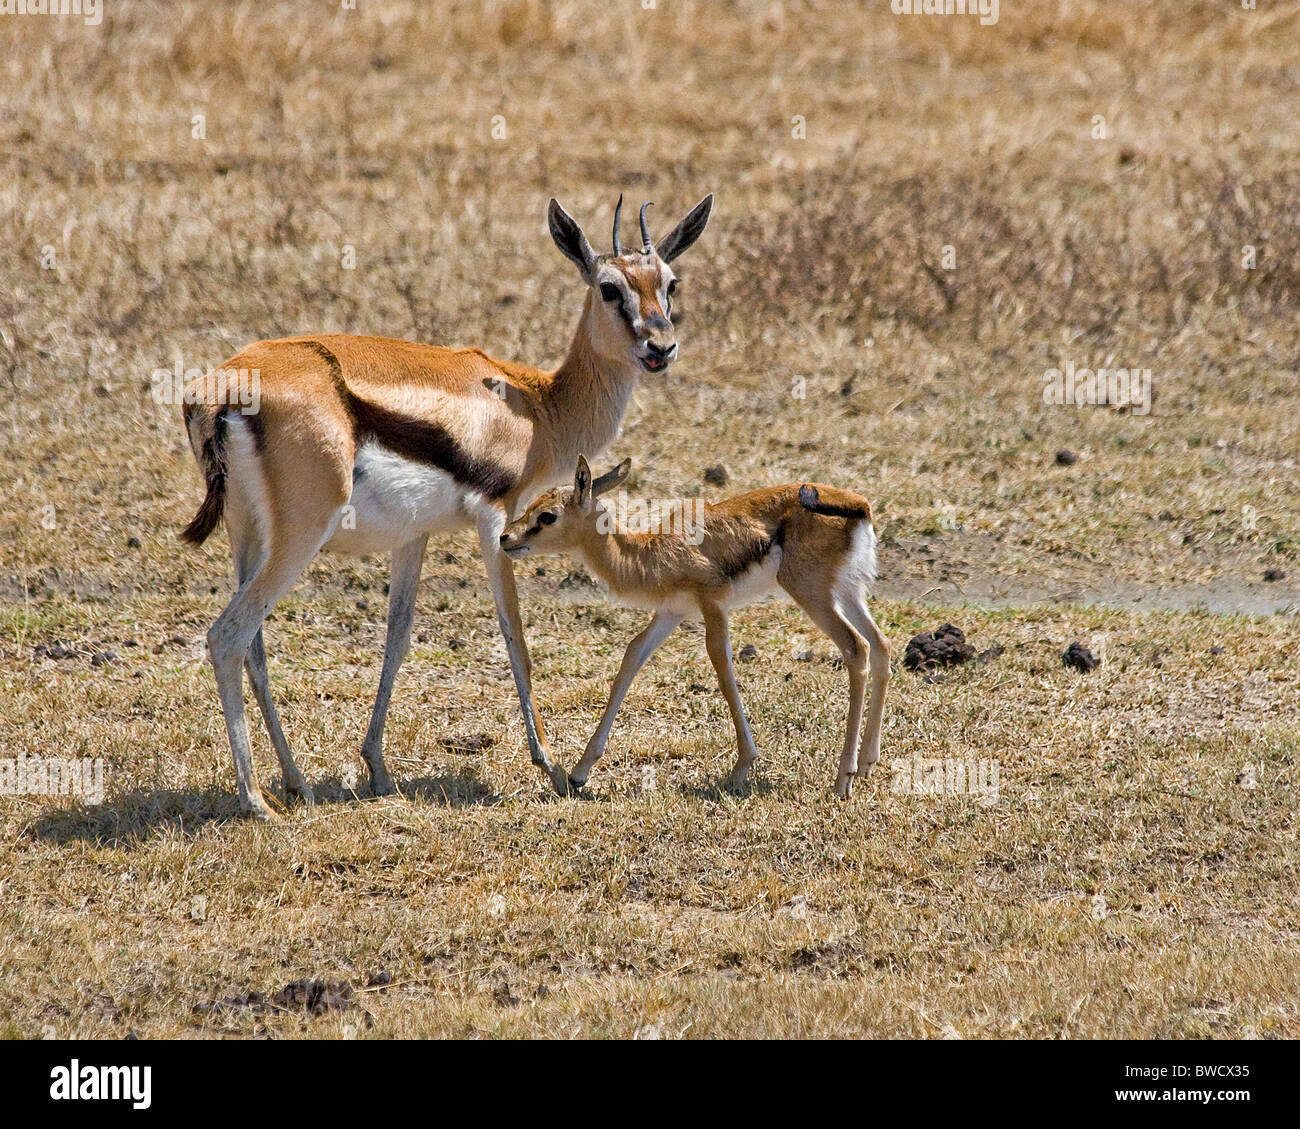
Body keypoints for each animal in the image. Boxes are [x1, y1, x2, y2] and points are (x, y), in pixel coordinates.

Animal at [179, 194, 714, 819]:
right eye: (609, 287)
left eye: (670, 283)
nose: (660, 347)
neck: (534, 405)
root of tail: (220, 389)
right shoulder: (497, 520)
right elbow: (514, 634)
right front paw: (551, 766)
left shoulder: (415, 535)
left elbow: (398, 635)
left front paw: (378, 768)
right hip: (299, 535)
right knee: (229, 636)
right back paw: (254, 800)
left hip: (248, 534)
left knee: (255, 646)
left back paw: (296, 782)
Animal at [500, 457, 891, 797]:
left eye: (547, 515)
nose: (505, 538)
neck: (649, 552)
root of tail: (857, 505)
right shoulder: (671, 612)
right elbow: (631, 658)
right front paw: (579, 773)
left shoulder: (712, 604)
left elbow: (721, 665)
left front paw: (741, 767)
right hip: (847, 593)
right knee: (881, 644)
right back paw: (868, 763)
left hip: (811, 593)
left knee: (856, 648)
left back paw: (843, 779)